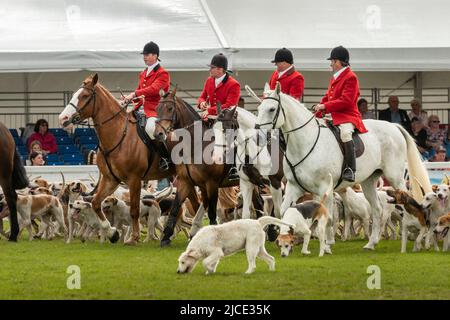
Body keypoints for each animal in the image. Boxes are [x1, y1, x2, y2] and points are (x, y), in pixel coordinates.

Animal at [57, 74, 199, 245]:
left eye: (84, 96)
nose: (62, 118)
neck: (119, 134)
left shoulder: (134, 179)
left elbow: (134, 210)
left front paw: (134, 237)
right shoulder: (110, 179)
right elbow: (96, 203)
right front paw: (112, 232)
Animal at [154, 90, 239, 248]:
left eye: (170, 108)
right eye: (157, 108)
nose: (158, 134)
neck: (197, 146)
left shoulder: (212, 184)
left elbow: (211, 211)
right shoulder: (185, 182)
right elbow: (175, 207)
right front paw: (166, 237)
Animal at [253, 82, 432, 250]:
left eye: (271, 109)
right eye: (259, 108)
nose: (257, 136)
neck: (305, 142)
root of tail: (393, 126)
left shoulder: (324, 187)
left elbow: (329, 218)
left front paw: (327, 244)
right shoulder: (294, 186)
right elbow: (284, 212)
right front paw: (289, 239)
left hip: (395, 178)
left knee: (408, 201)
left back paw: (415, 237)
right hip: (369, 181)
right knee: (377, 209)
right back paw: (371, 243)